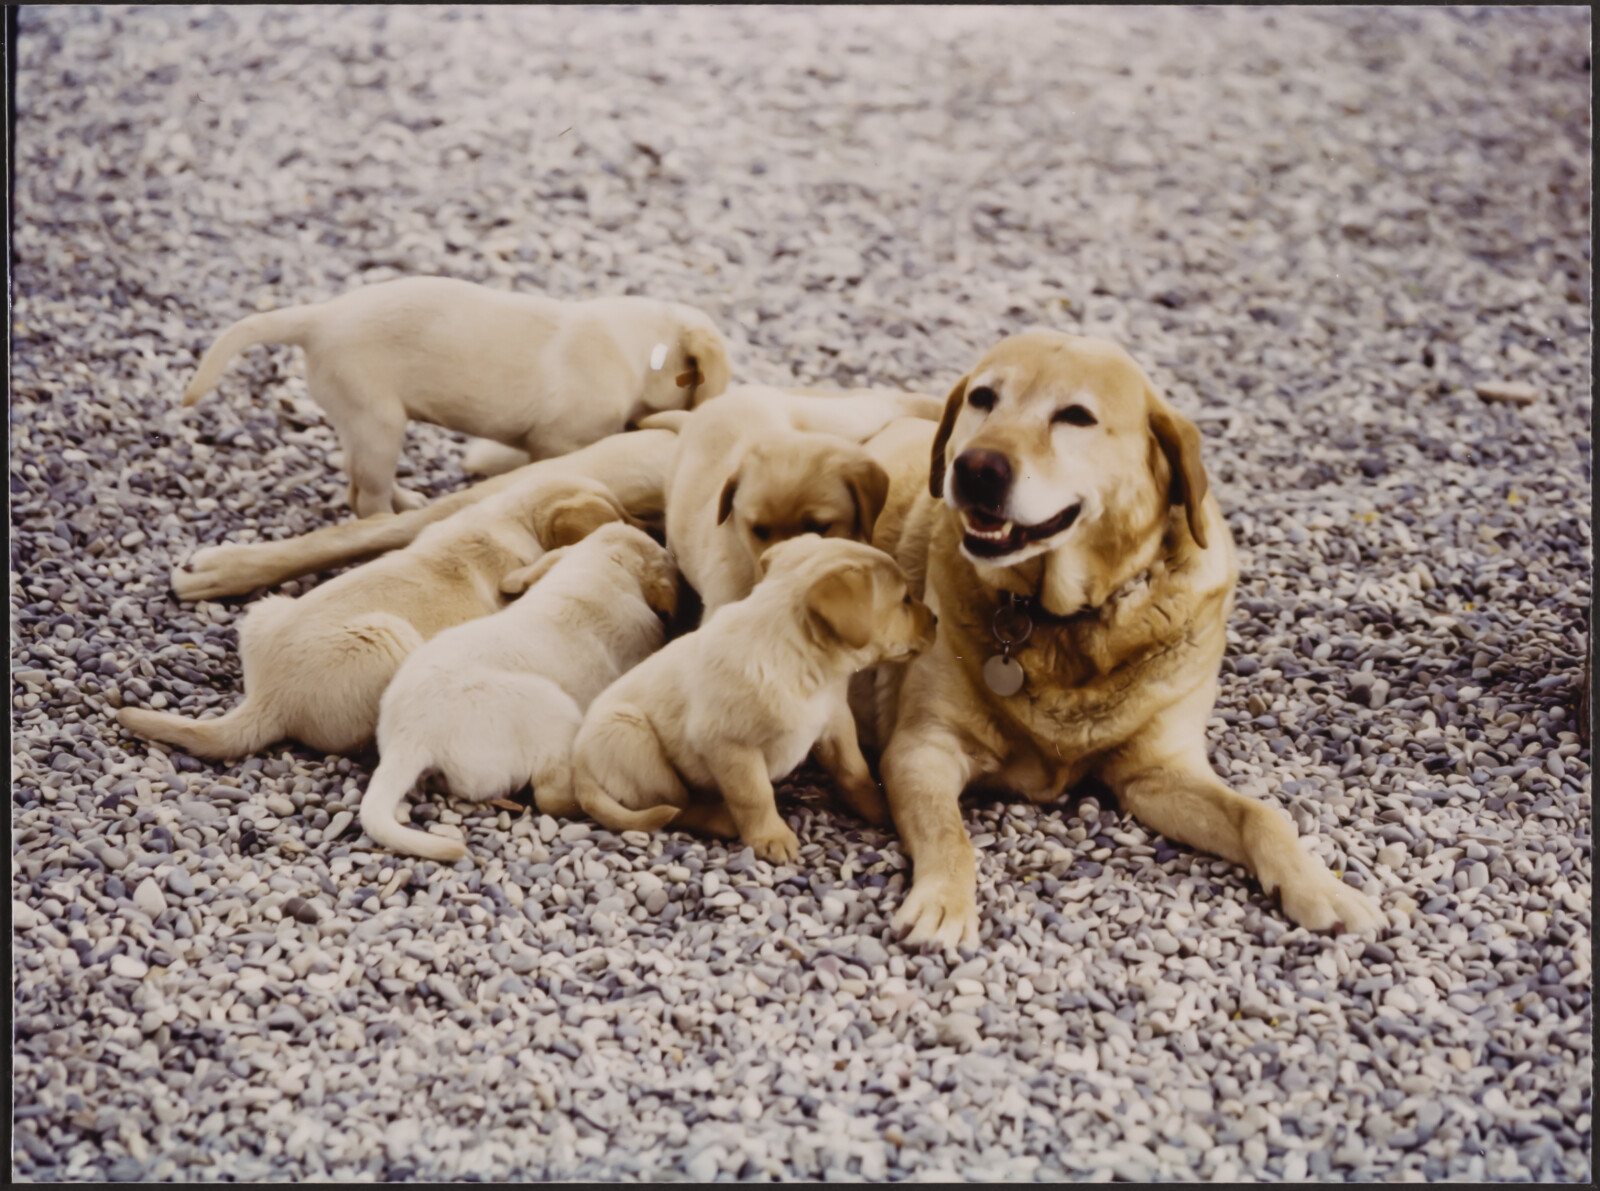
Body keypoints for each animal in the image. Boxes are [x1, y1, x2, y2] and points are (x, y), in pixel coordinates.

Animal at [569, 534, 934, 858]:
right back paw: (720, 819)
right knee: (677, 806)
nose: (936, 618)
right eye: (905, 600)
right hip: (630, 735)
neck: (799, 661)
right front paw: (770, 837)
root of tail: (579, 766)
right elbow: (755, 796)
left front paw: (880, 806)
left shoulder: (834, 721)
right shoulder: (731, 746)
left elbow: (854, 771)